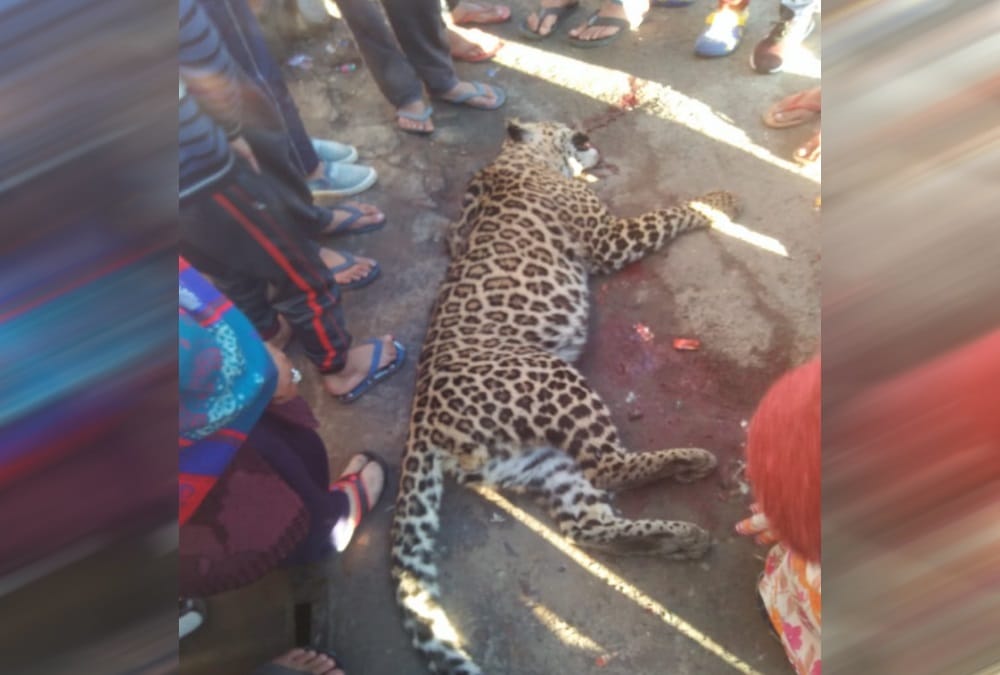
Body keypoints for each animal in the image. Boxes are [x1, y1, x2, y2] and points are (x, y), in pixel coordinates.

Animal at [391, 119, 742, 675]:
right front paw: (720, 200)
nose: (590, 139)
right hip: (554, 378)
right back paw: (692, 463)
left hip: (537, 461)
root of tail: (420, 425)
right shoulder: (609, 239)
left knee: (588, 525)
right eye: (569, 131)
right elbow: (672, 212)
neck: (517, 159)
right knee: (607, 466)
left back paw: (680, 536)